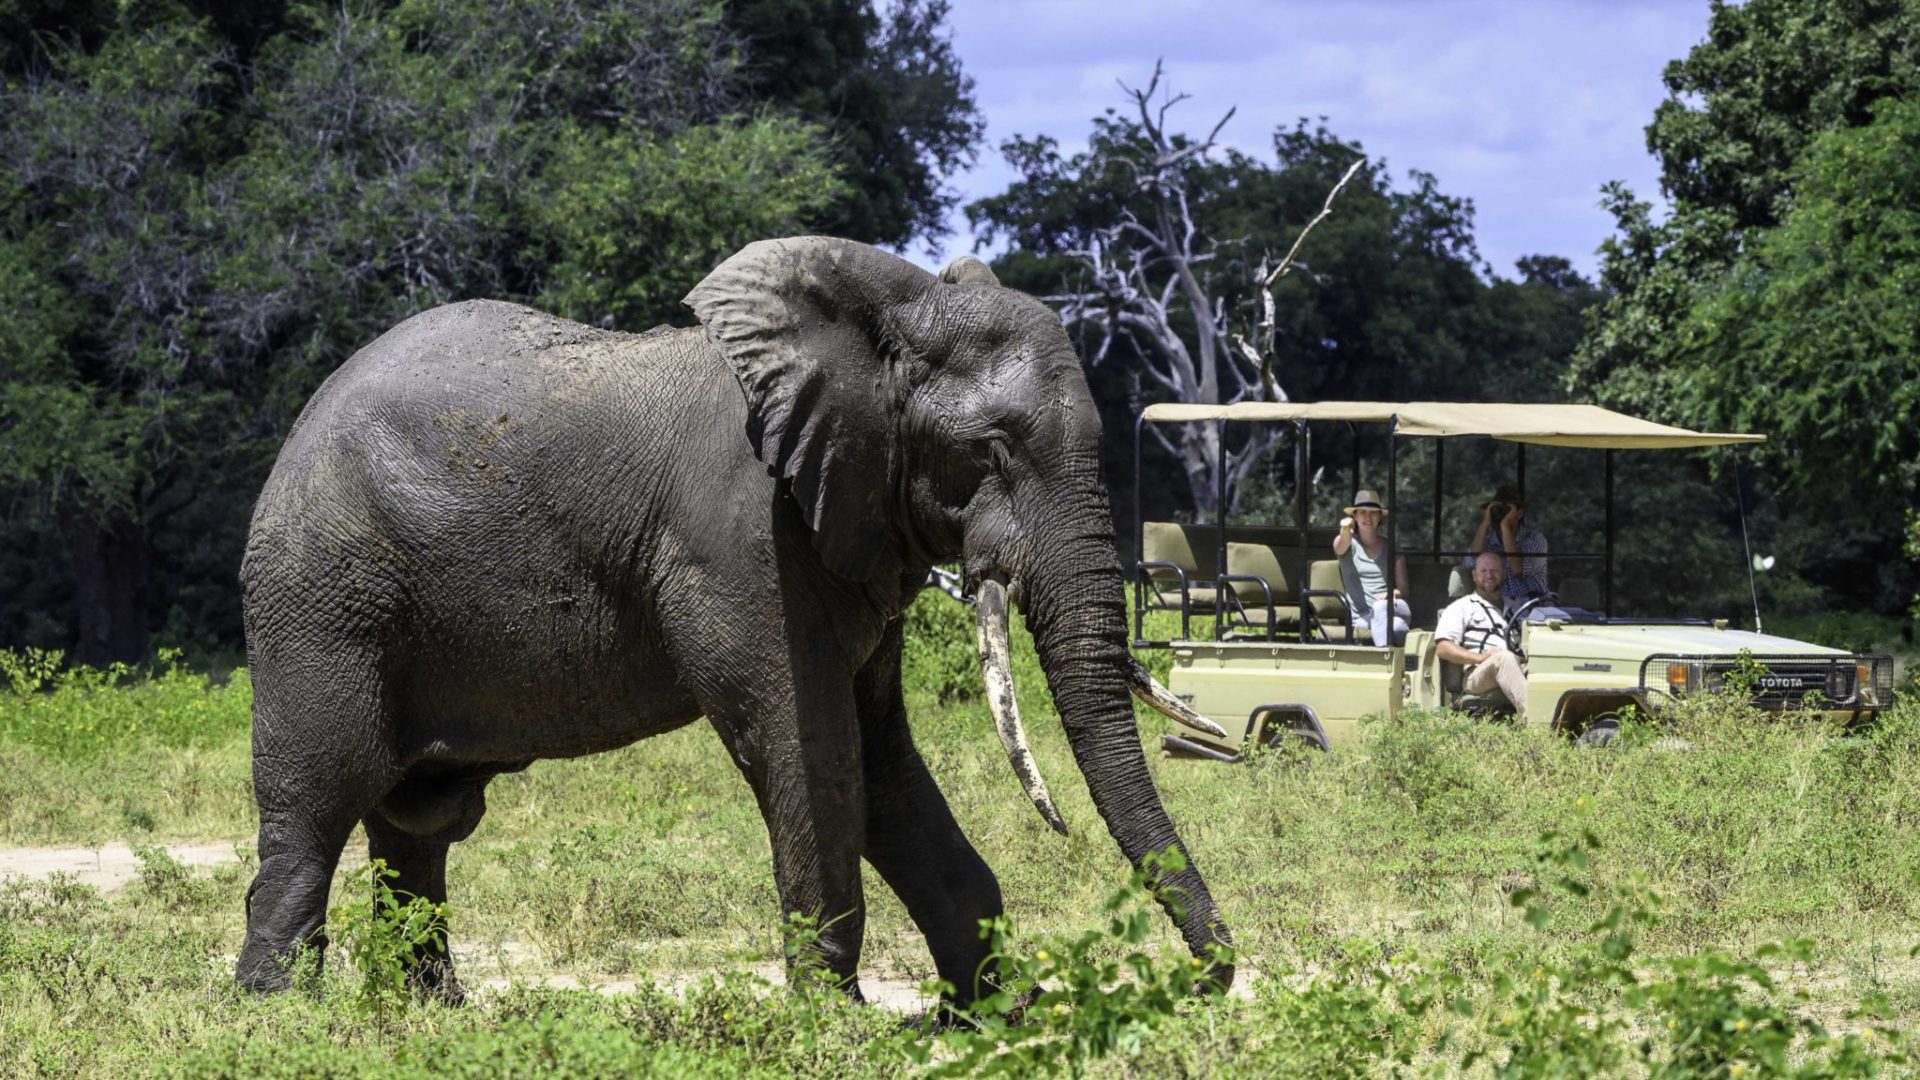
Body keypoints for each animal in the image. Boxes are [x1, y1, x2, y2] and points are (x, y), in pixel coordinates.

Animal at [234, 235, 1233, 1003]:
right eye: (994, 449)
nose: (1203, 982)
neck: (888, 314)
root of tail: (297, 428)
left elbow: (879, 757)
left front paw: (993, 1018)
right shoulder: (742, 538)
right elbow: (808, 744)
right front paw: (836, 1026)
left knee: (415, 826)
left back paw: (427, 1017)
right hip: (321, 597)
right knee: (318, 800)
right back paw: (282, 1017)